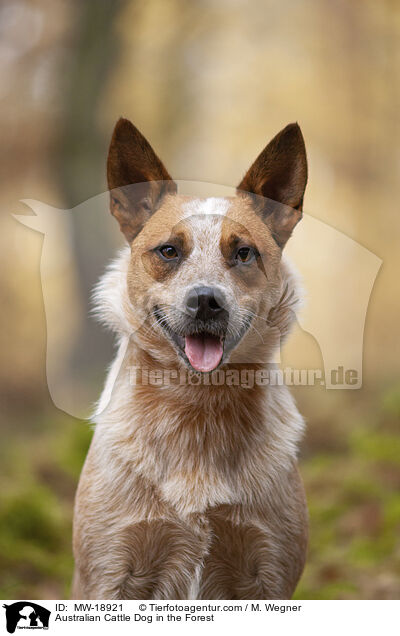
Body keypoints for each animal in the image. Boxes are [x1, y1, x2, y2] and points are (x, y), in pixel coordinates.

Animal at [72, 117, 310, 600]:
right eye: (169, 250)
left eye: (243, 252)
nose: (205, 301)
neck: (197, 406)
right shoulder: (108, 570)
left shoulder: (269, 569)